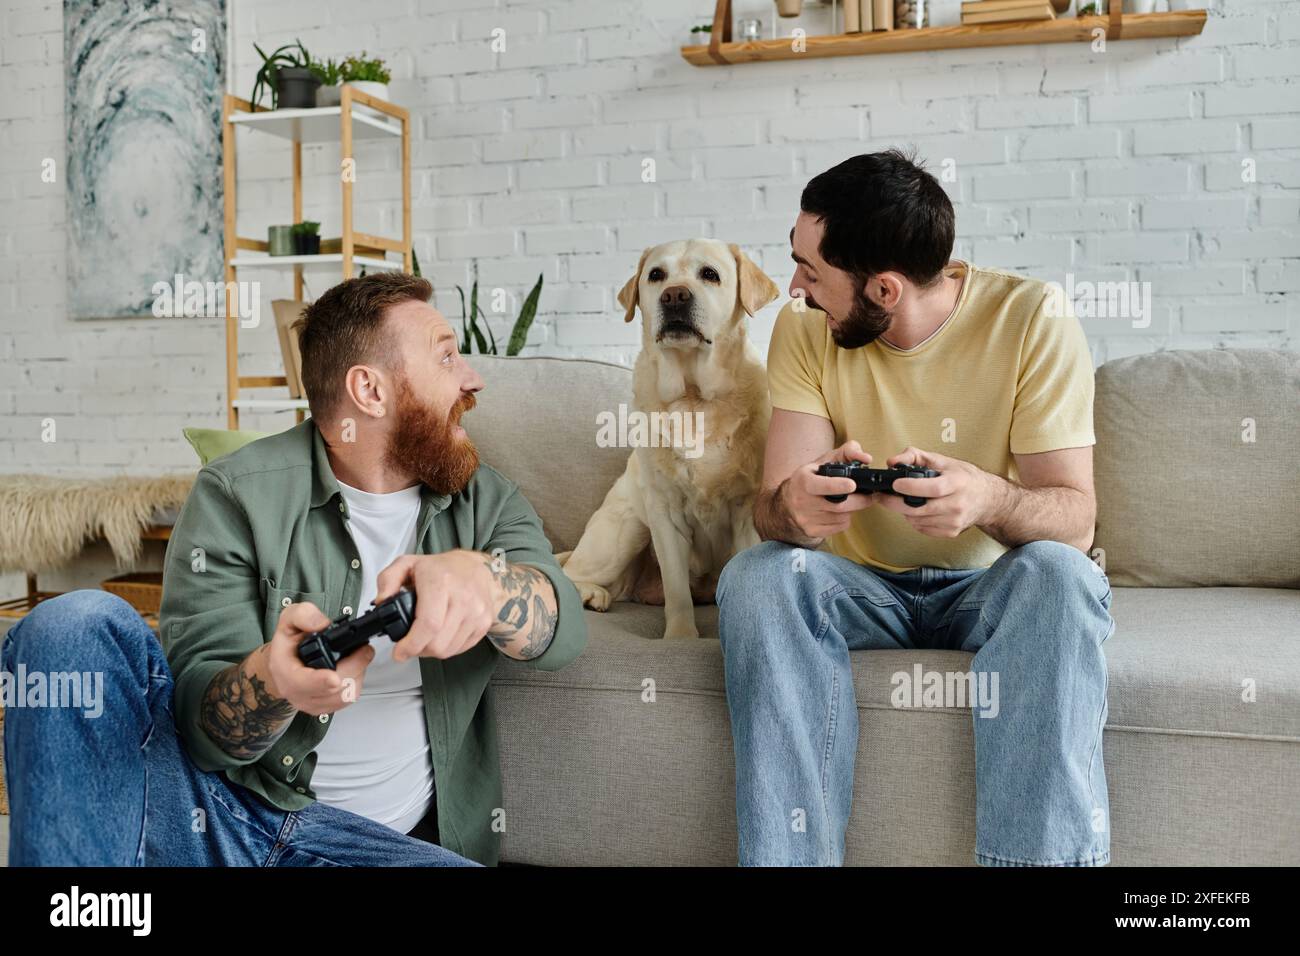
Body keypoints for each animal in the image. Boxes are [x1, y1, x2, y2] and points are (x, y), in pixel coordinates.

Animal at [561, 240, 780, 642]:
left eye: (710, 274)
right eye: (655, 275)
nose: (674, 295)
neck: (694, 397)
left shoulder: (746, 512)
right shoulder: (665, 514)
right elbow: (677, 592)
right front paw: (680, 637)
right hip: (626, 529)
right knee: (565, 573)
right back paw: (591, 594)